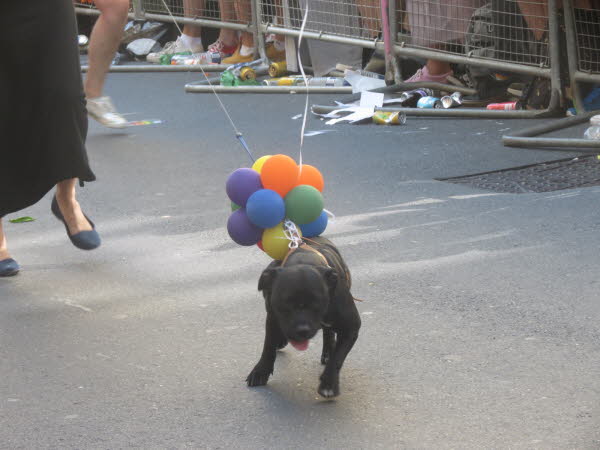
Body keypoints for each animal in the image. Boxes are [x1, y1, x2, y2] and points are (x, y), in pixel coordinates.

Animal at [245, 236, 358, 398]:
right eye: (285, 304)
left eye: (318, 303)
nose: (302, 329)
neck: (304, 260)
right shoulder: (272, 317)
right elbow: (268, 345)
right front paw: (260, 371)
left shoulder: (351, 327)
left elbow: (337, 357)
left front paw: (329, 383)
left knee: (328, 332)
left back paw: (327, 352)